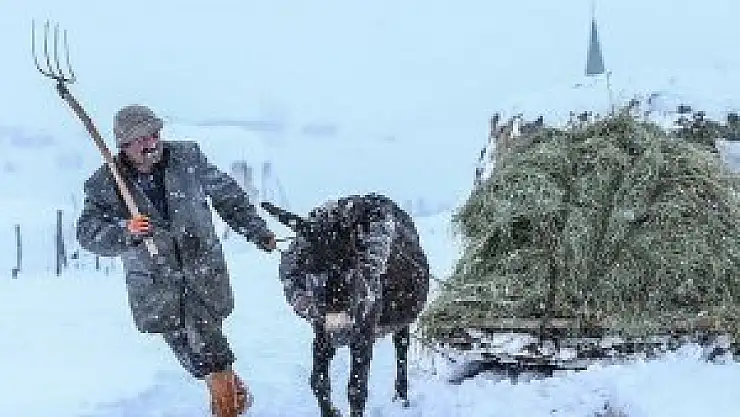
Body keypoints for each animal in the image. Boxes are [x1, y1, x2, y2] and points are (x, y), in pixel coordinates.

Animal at [261, 193, 430, 417]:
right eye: (305, 263)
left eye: (352, 262)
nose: (339, 324)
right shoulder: (322, 333)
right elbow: (318, 382)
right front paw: (332, 412)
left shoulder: (363, 335)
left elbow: (356, 389)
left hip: (402, 322)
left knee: (401, 349)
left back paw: (402, 397)